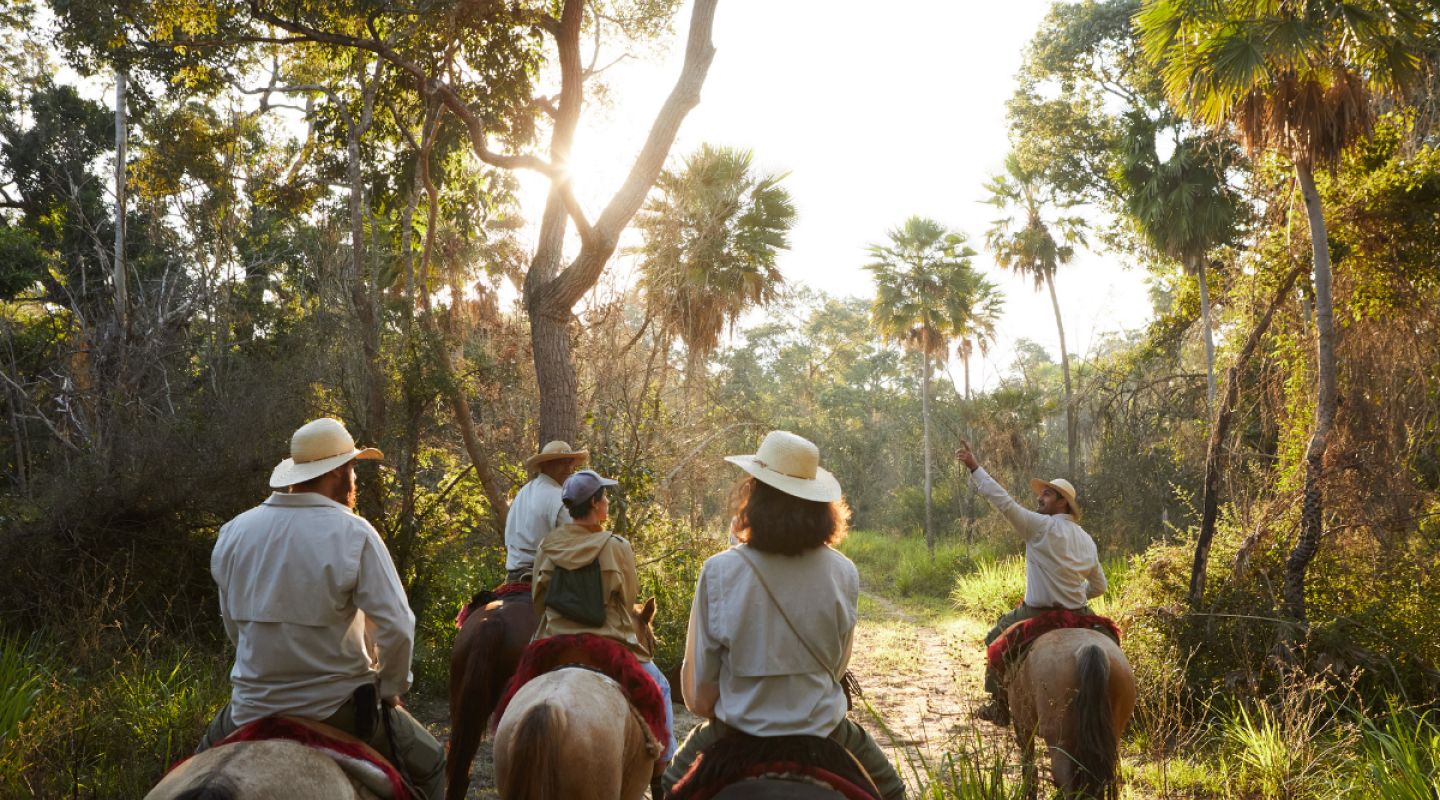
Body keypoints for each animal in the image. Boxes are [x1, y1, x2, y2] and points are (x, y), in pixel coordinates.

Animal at [1002, 627, 1134, 794]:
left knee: (1065, 780)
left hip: (1060, 742)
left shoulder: (1022, 725)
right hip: (1111, 737)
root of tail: (1090, 649)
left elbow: (1029, 769)